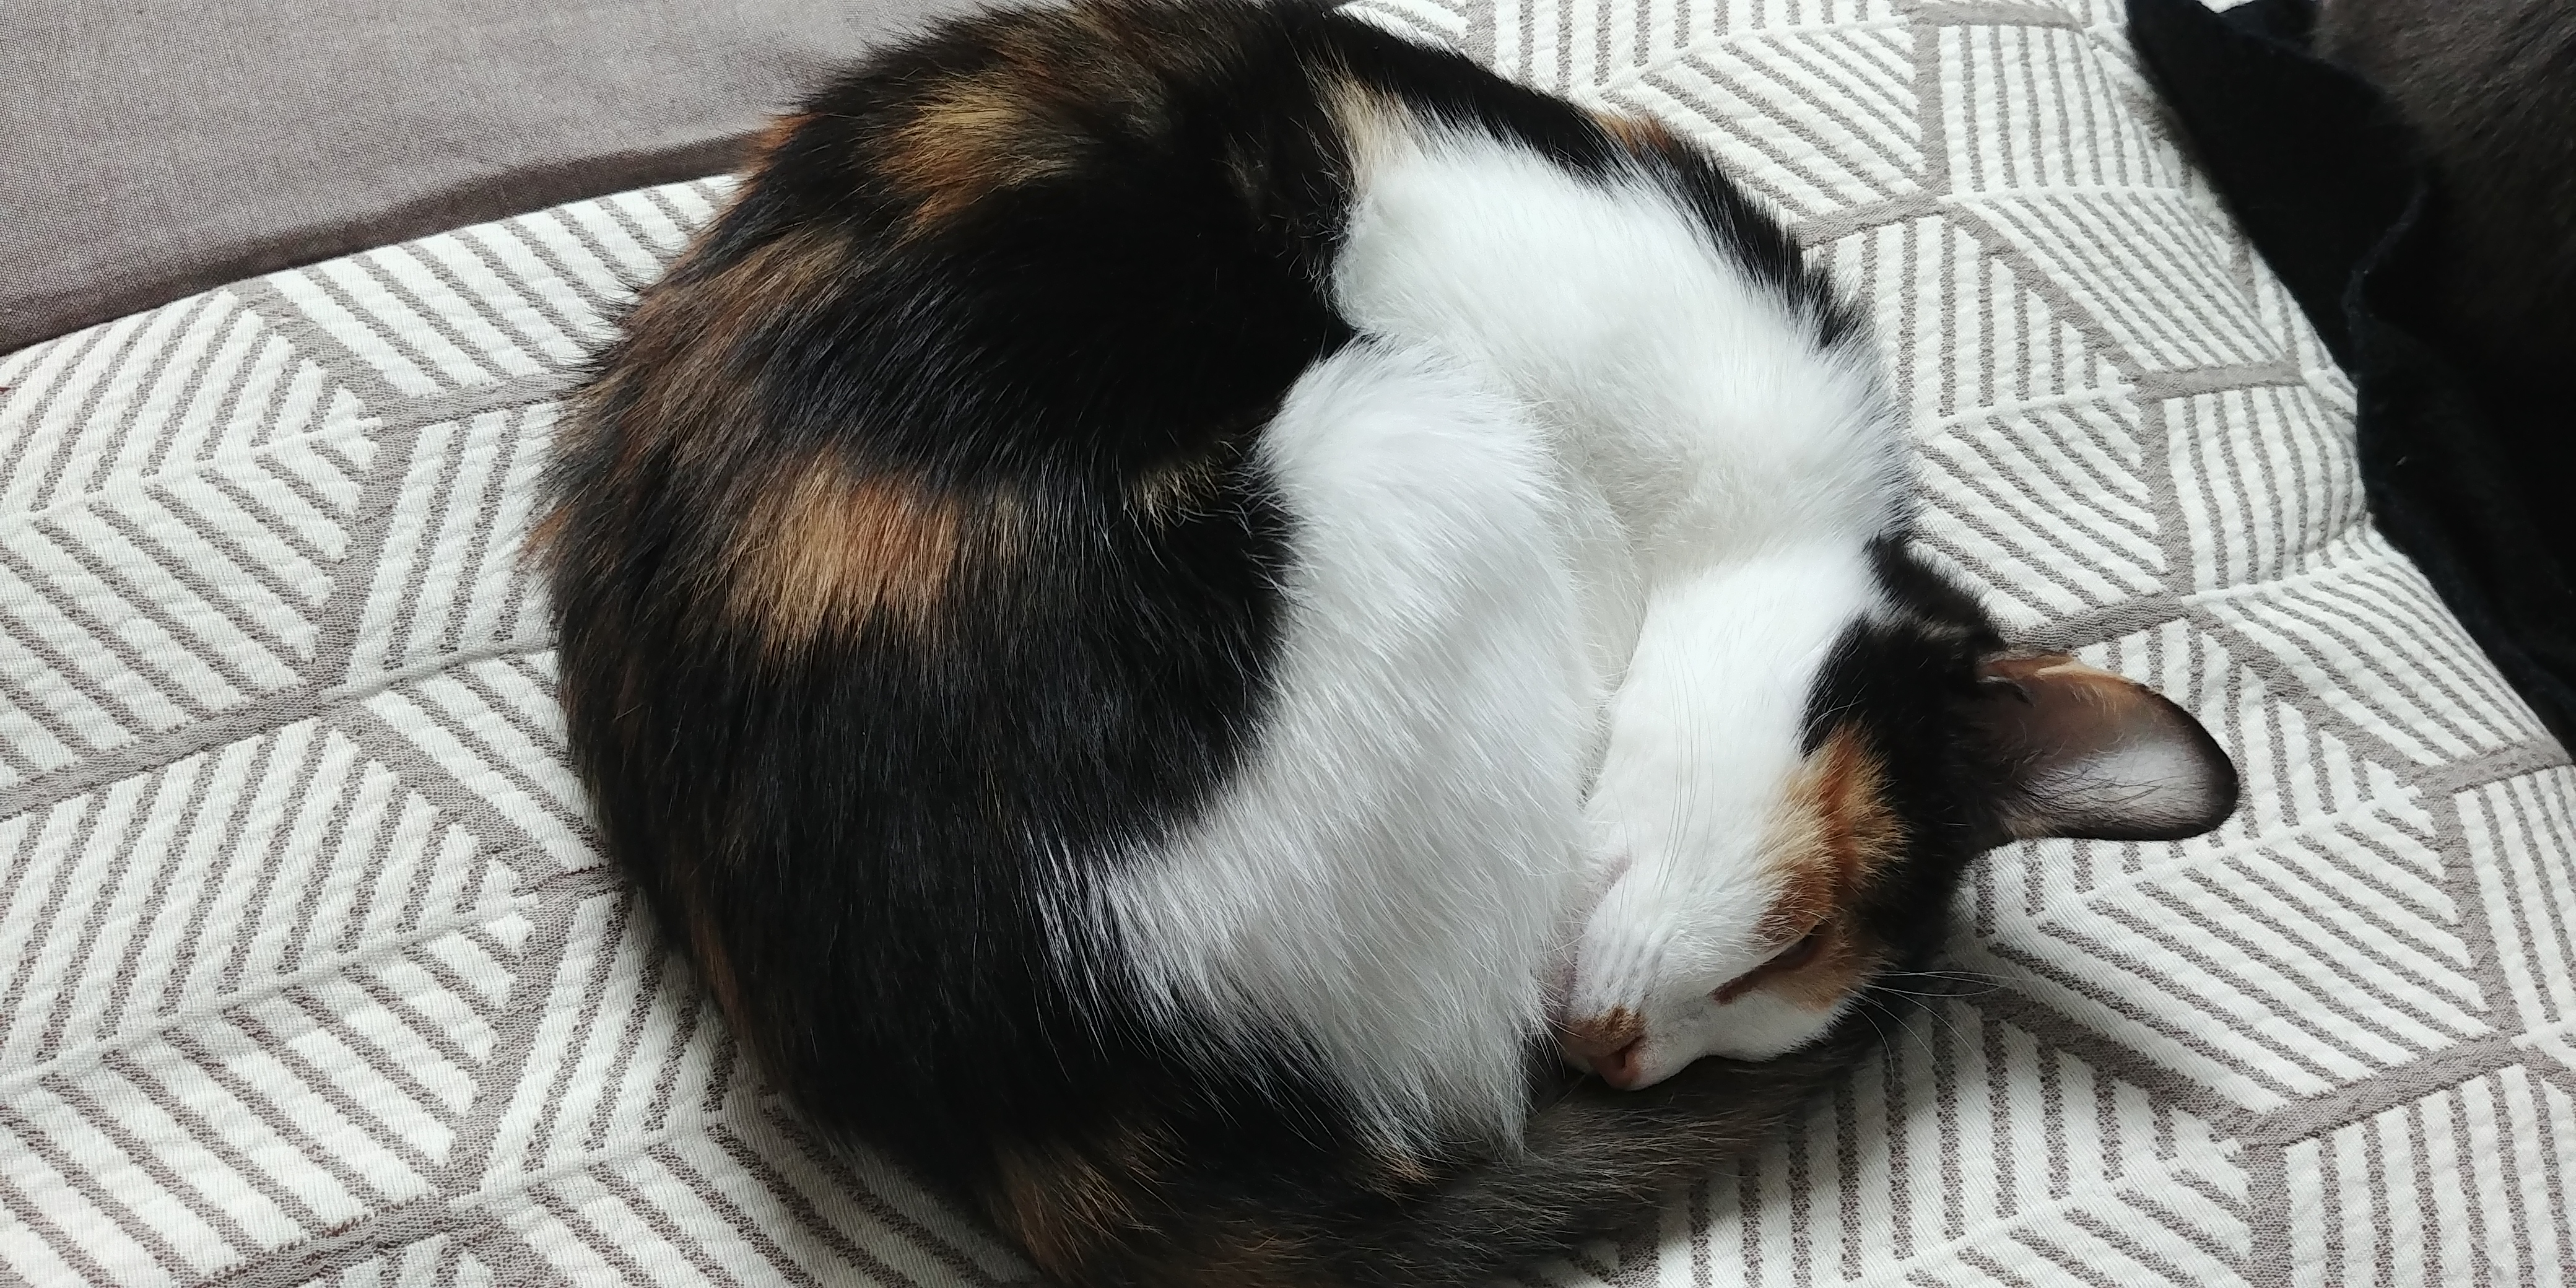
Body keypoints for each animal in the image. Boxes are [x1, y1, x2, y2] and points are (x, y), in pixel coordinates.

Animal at [538, 1, 2240, 1283]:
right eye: (1788, 939)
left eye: (1760, 1014)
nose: (1622, 1060)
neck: (1733, 530)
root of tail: (1021, 1091)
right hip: (1410, 433)